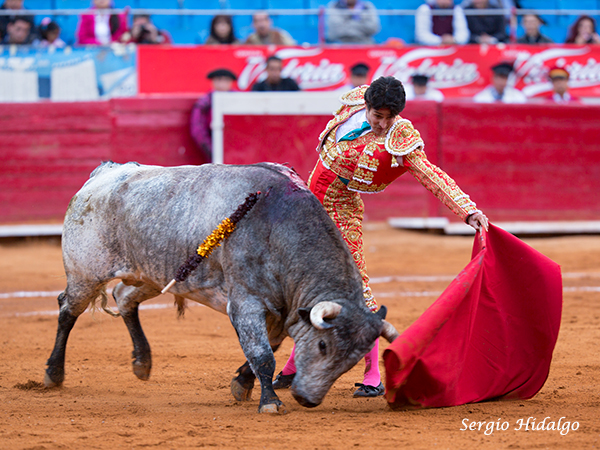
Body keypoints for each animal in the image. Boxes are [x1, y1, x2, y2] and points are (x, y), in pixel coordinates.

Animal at [45, 162, 398, 414]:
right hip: (85, 274)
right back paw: (53, 374)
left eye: (352, 360)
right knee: (67, 309)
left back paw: (142, 363)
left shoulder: (282, 310)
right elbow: (262, 354)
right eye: (324, 346)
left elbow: (269, 348)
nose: (308, 398)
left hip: (153, 274)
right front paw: (270, 402)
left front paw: (242, 384)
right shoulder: (246, 304)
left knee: (123, 297)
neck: (277, 228)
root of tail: (104, 172)